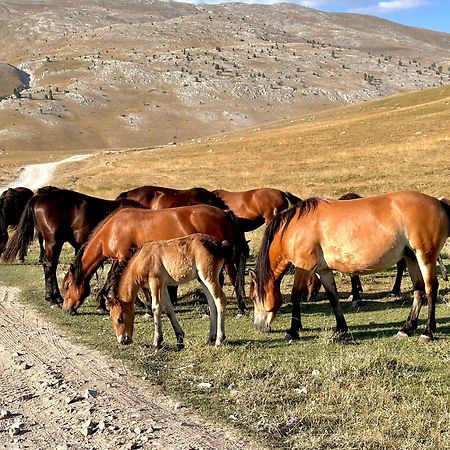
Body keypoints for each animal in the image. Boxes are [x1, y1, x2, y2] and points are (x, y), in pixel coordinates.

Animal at [1, 188, 142, 308]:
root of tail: (39, 197)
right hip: (53, 242)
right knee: (50, 265)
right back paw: (53, 299)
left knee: (50, 266)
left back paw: (55, 296)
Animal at [61, 204, 248, 312]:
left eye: (67, 286)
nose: (66, 310)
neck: (112, 229)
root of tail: (224, 213)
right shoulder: (122, 259)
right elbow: (116, 280)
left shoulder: (123, 257)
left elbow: (114, 280)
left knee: (232, 277)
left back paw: (240, 307)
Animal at [250, 190, 450, 342]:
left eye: (254, 297)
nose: (258, 327)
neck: (296, 227)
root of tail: (439, 203)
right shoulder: (323, 271)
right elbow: (333, 297)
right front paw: (341, 327)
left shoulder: (304, 267)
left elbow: (295, 296)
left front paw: (292, 331)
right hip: (411, 257)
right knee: (418, 290)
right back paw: (407, 328)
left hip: (425, 257)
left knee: (431, 289)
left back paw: (428, 332)